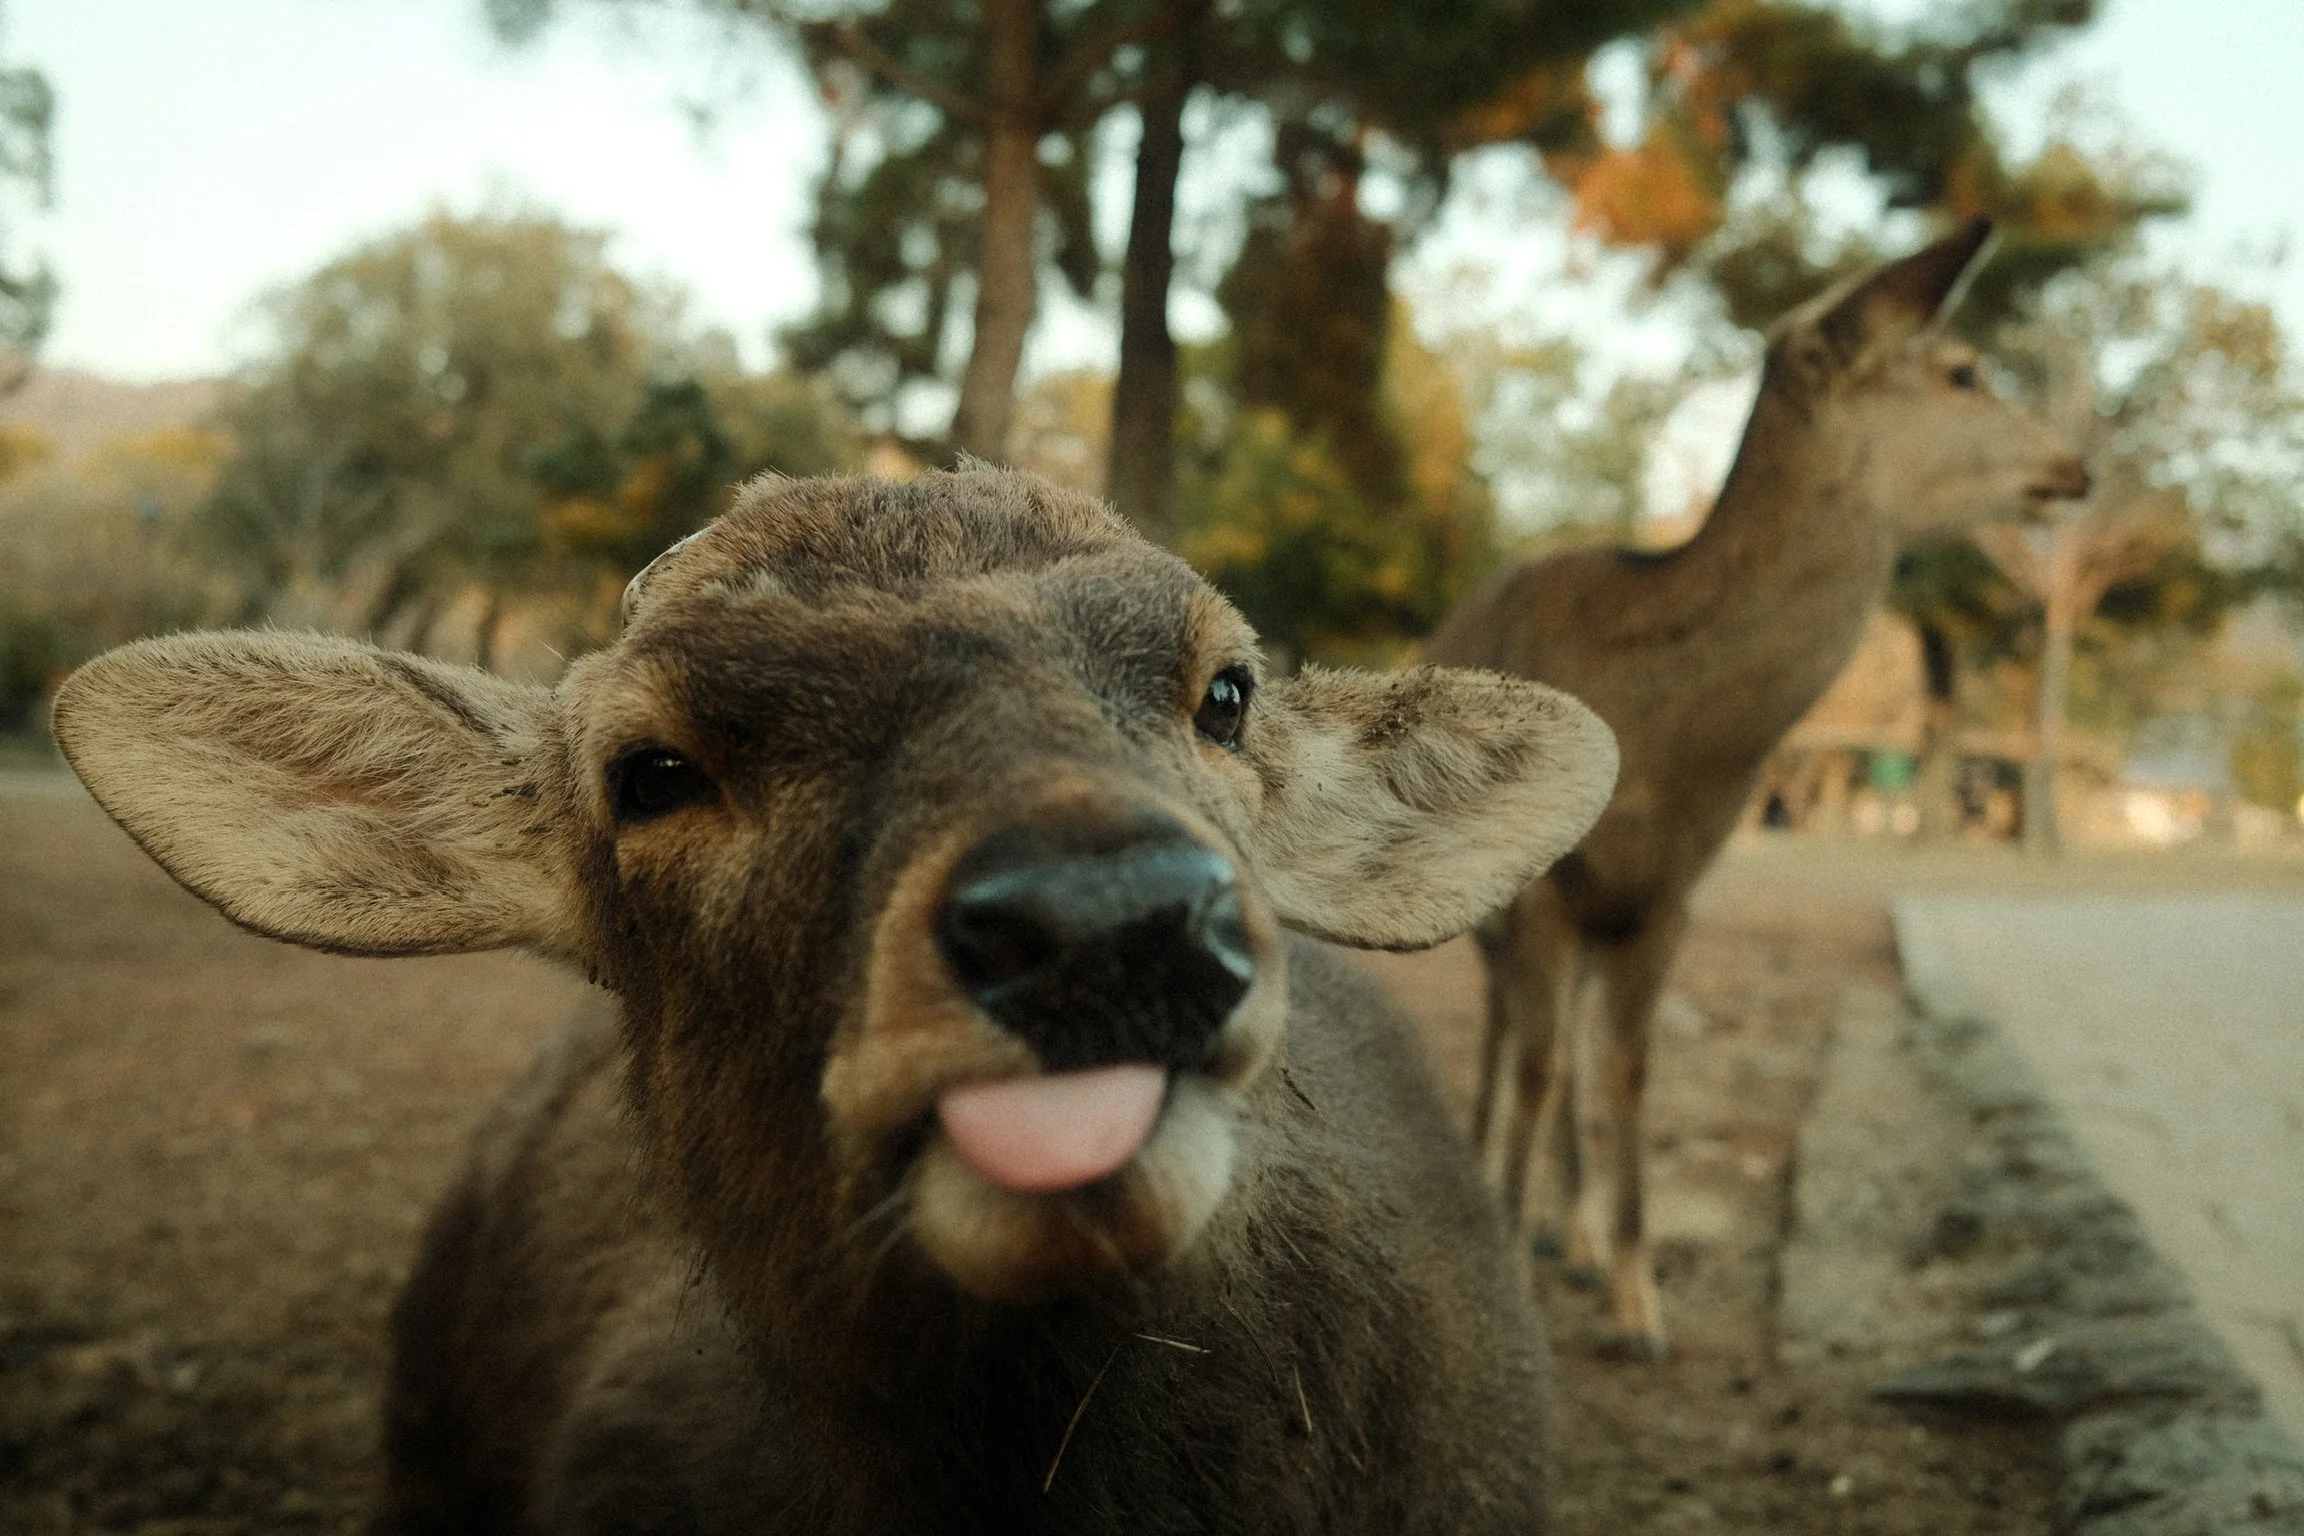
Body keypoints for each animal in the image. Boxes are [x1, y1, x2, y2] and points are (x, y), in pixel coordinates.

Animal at [1422, 219, 2090, 1361]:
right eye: (1964, 370)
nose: (2075, 464)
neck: (1658, 758)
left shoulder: (1671, 894)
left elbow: (1626, 1070)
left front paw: (1641, 1302)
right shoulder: (1545, 889)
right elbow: (1543, 1066)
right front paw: (1511, 1278)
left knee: (1566, 1045)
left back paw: (1574, 1236)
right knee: (1511, 1032)